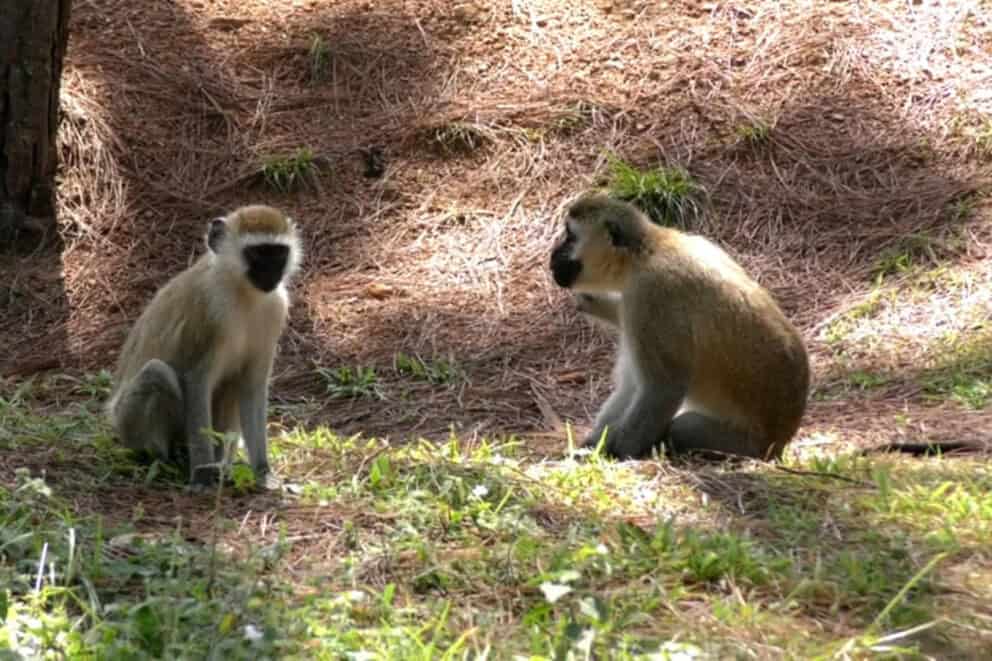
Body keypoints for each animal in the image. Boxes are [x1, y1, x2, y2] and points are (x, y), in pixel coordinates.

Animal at [106, 205, 302, 489]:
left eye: (278, 253)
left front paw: (262, 472)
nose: (271, 273)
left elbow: (251, 386)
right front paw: (202, 472)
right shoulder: (209, 309)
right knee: (156, 373)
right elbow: (196, 380)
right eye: (256, 253)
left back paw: (223, 465)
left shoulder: (275, 308)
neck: (241, 291)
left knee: (232, 385)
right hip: (127, 422)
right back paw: (165, 459)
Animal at [549, 193, 810, 461]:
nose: (553, 254)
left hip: (743, 442)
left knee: (679, 427)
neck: (644, 254)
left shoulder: (650, 298)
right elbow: (632, 384)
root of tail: (780, 438)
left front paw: (612, 454)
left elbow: (663, 388)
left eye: (570, 236)